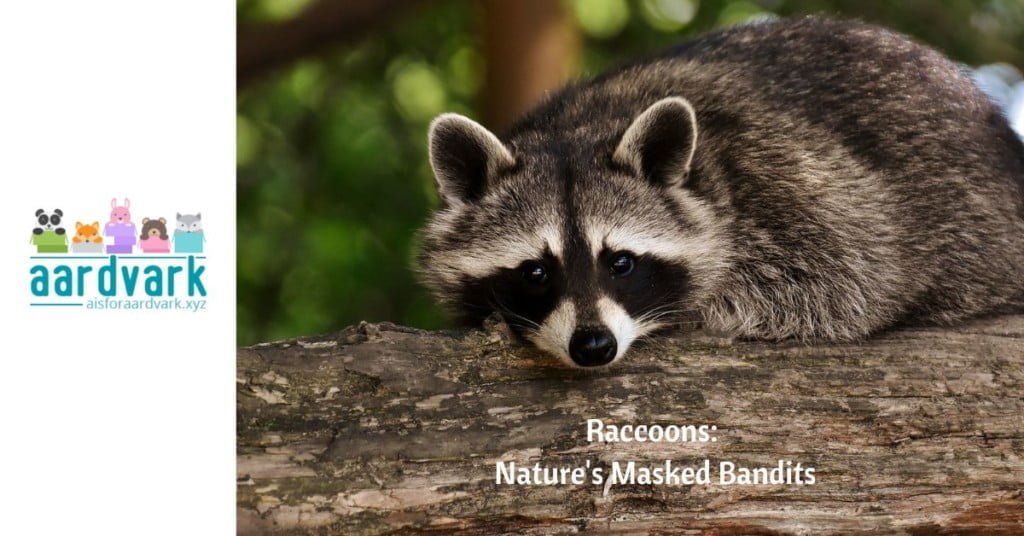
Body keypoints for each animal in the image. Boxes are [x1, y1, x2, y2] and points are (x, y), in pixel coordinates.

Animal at [413, 17, 1024, 368]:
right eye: (536, 272)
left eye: (621, 262)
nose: (593, 348)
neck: (581, 127)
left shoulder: (794, 183)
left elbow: (851, 280)